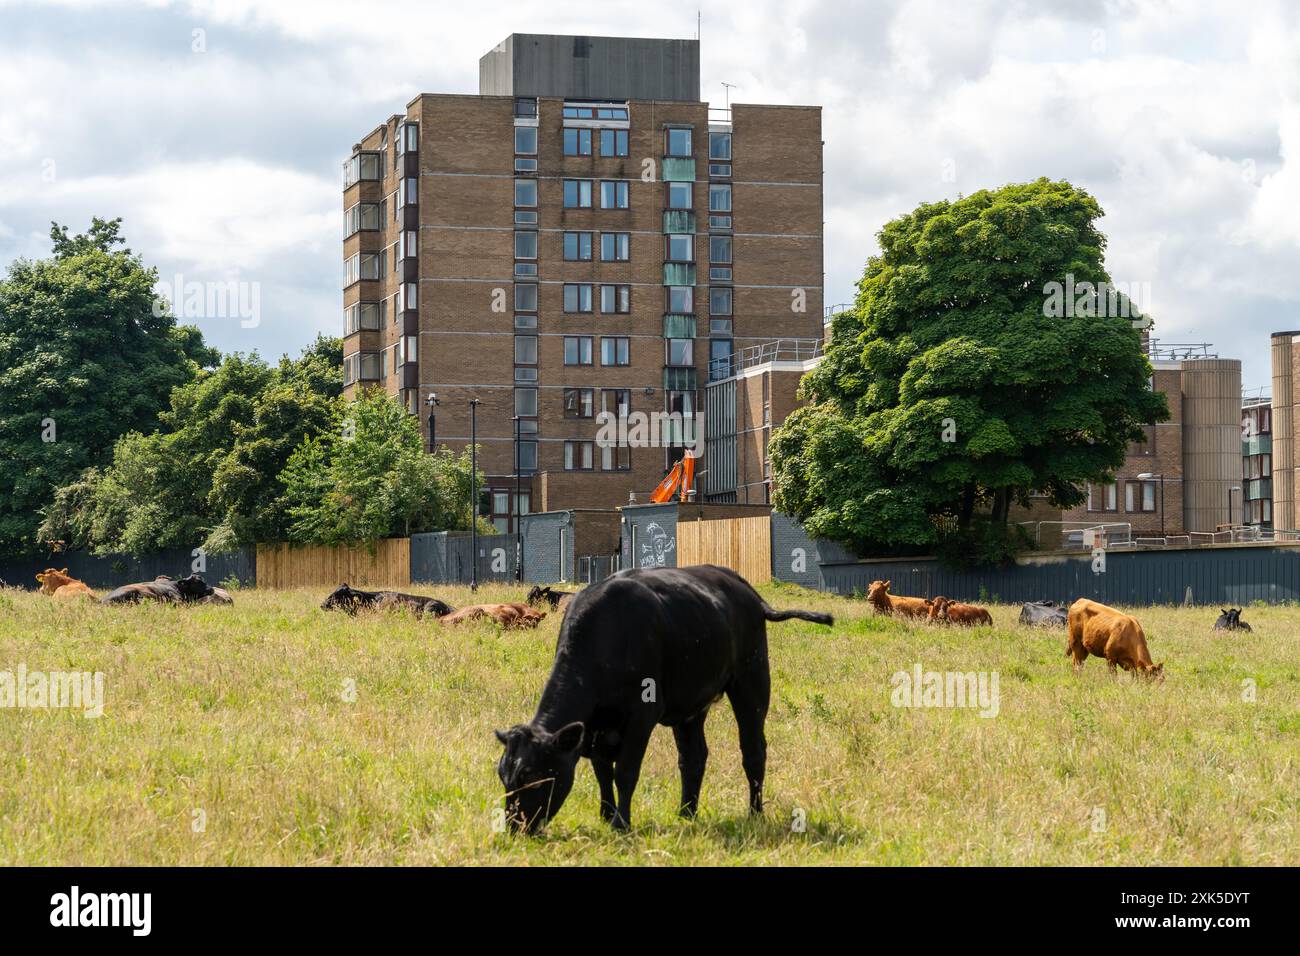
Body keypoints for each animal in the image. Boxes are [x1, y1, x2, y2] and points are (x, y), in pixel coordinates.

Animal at [491, 564, 837, 832]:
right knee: (693, 757)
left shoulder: (641, 715)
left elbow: (625, 771)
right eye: (504, 776)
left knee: (753, 750)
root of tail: (745, 589)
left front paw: (620, 823)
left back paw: (754, 813)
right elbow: (602, 771)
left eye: (534, 776)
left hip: (751, 681)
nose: (516, 829)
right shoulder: (593, 727)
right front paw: (605, 814)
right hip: (692, 704)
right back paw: (686, 813)